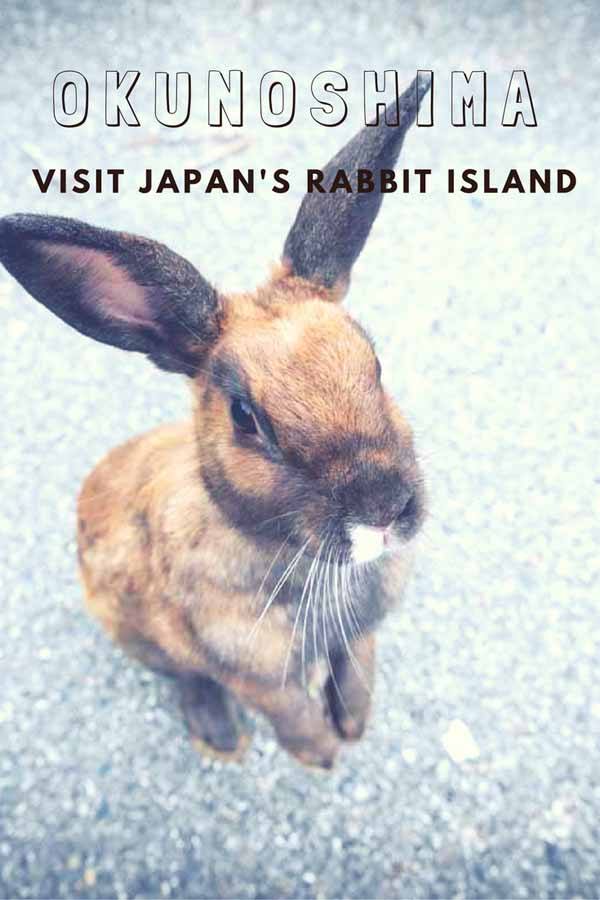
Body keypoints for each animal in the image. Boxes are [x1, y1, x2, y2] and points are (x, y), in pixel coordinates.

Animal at [0, 75, 428, 769]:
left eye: (375, 362)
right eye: (245, 418)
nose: (383, 509)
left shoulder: (361, 634)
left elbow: (355, 663)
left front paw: (353, 724)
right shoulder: (252, 673)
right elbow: (287, 710)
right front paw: (320, 754)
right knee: (184, 674)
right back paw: (220, 737)